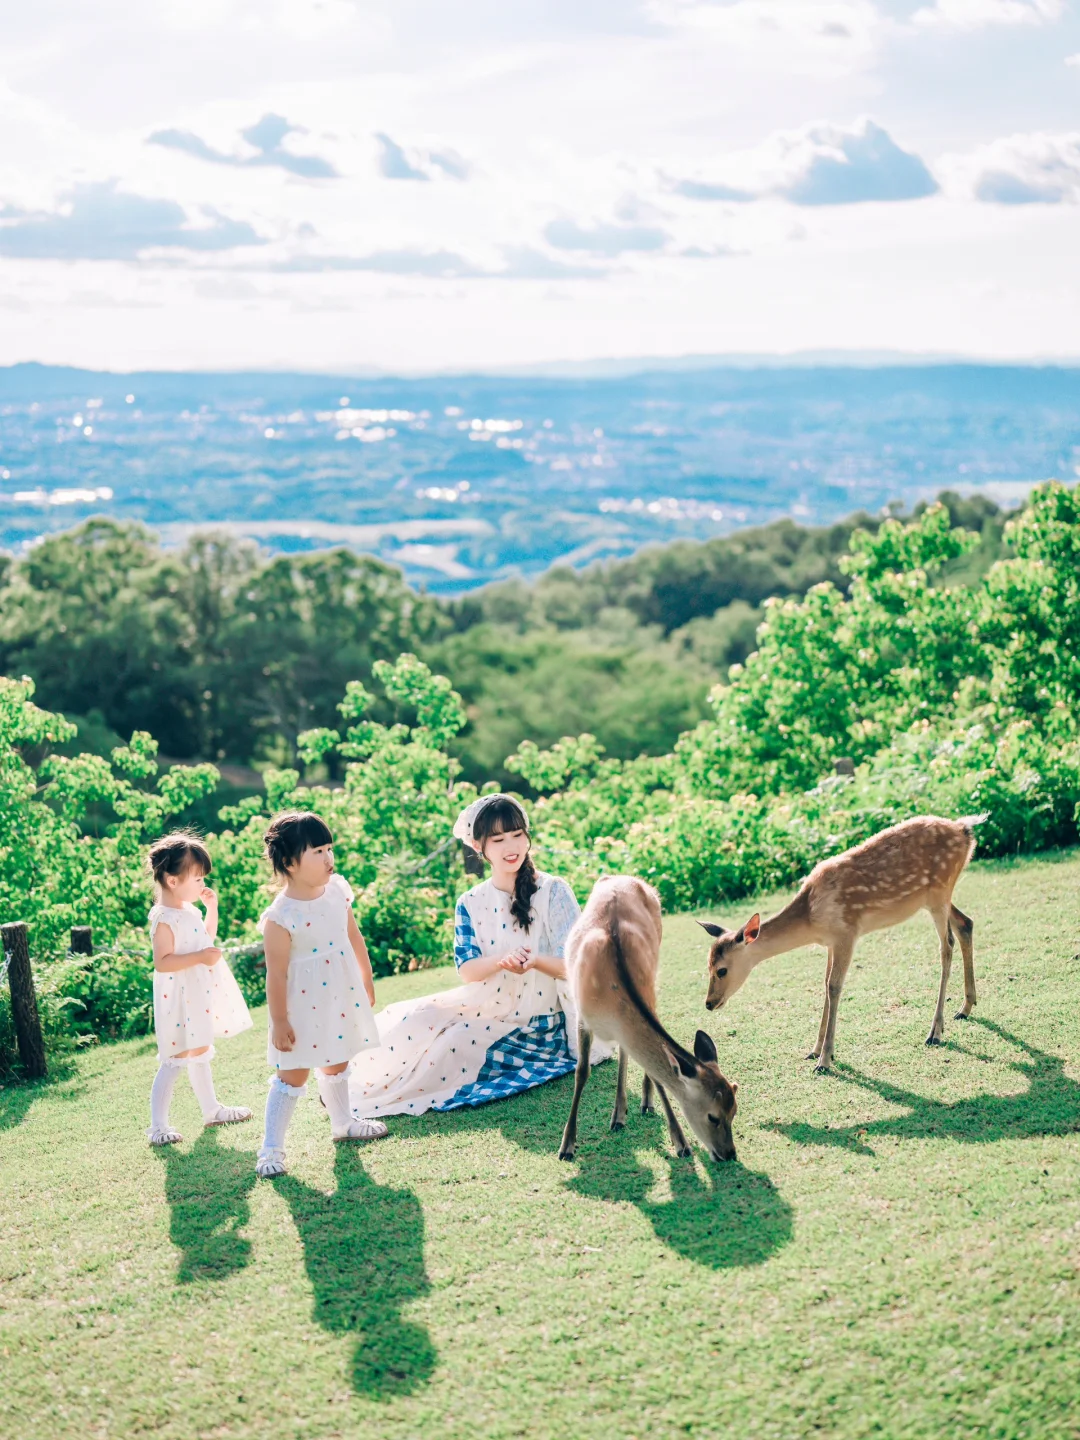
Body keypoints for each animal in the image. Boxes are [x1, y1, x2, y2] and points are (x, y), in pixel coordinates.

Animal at [558, 869, 743, 1163]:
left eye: (734, 1111)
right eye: (713, 1116)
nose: (729, 1154)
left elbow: (657, 1075)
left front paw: (681, 1142)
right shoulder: (581, 1017)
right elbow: (582, 1071)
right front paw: (567, 1145)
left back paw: (636, 1107)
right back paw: (619, 1115)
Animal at [696, 812, 984, 1071]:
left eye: (722, 970)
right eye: (707, 966)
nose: (709, 1003)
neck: (811, 918)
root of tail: (965, 829)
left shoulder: (847, 933)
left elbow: (834, 986)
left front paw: (825, 1060)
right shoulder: (830, 942)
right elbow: (825, 984)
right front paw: (814, 1050)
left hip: (939, 892)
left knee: (946, 946)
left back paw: (935, 1031)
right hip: (935, 898)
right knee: (965, 923)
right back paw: (965, 1007)